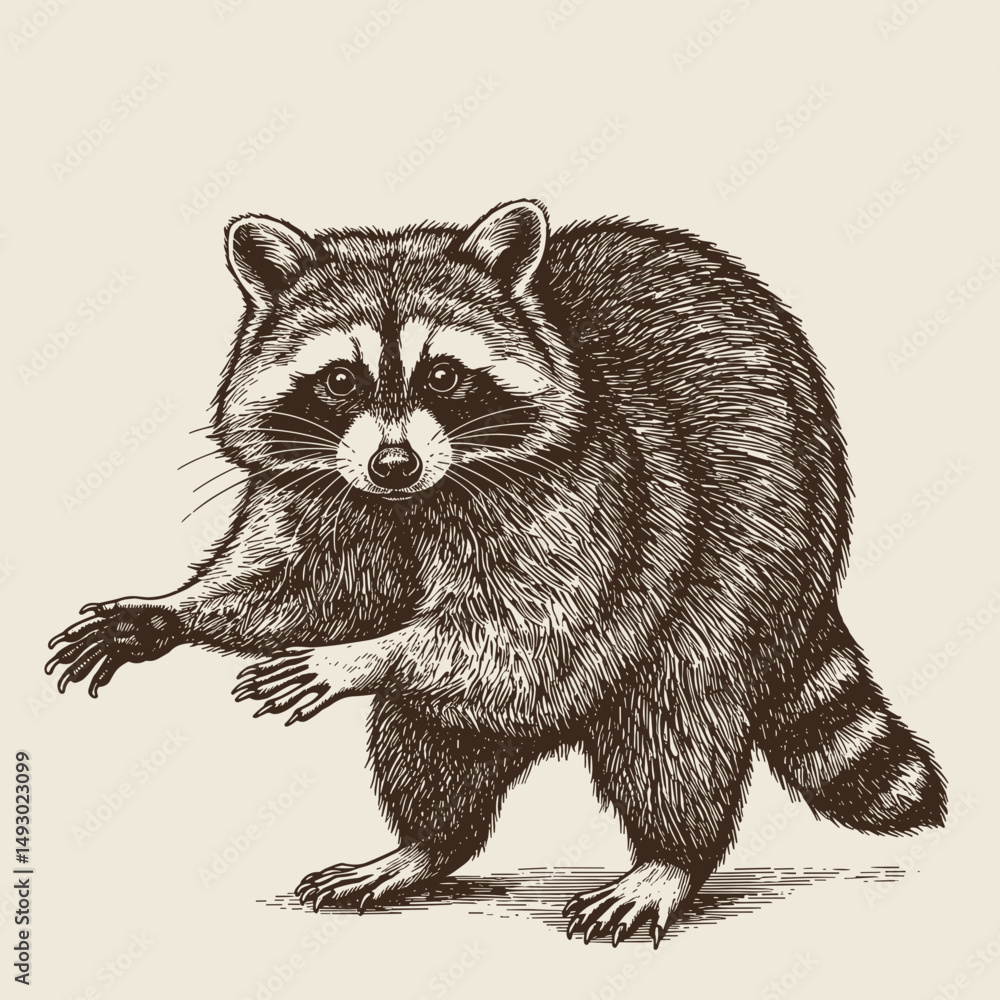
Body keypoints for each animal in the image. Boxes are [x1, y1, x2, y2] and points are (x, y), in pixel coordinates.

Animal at [47, 200, 946, 945]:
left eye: (443, 375)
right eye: (339, 379)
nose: (395, 463)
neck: (416, 499)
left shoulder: (591, 492)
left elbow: (523, 625)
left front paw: (356, 658)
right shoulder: (321, 489)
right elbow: (293, 585)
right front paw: (170, 612)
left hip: (755, 552)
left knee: (678, 715)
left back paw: (669, 857)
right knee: (432, 739)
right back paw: (423, 845)